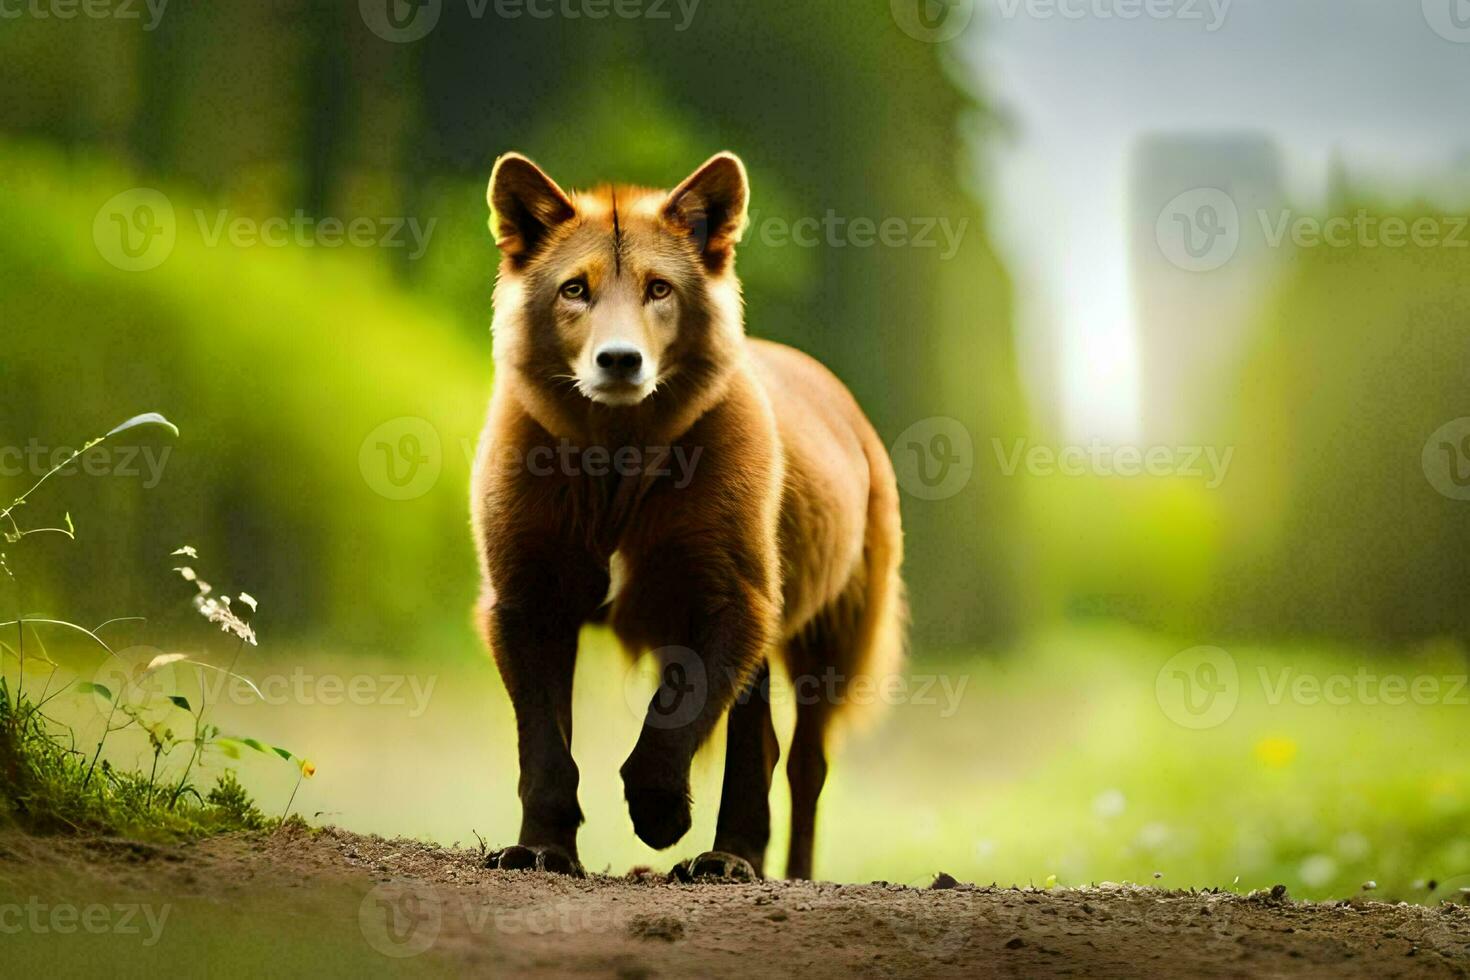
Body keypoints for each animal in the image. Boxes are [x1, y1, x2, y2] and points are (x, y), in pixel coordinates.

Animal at [476, 153, 899, 881]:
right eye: (574, 289)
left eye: (659, 288)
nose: (620, 359)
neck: (617, 462)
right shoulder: (526, 599)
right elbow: (545, 744)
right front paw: (542, 850)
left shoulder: (733, 597)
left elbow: (677, 712)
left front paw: (661, 814)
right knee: (762, 743)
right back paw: (732, 856)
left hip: (830, 637)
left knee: (805, 764)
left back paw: (760, 866)